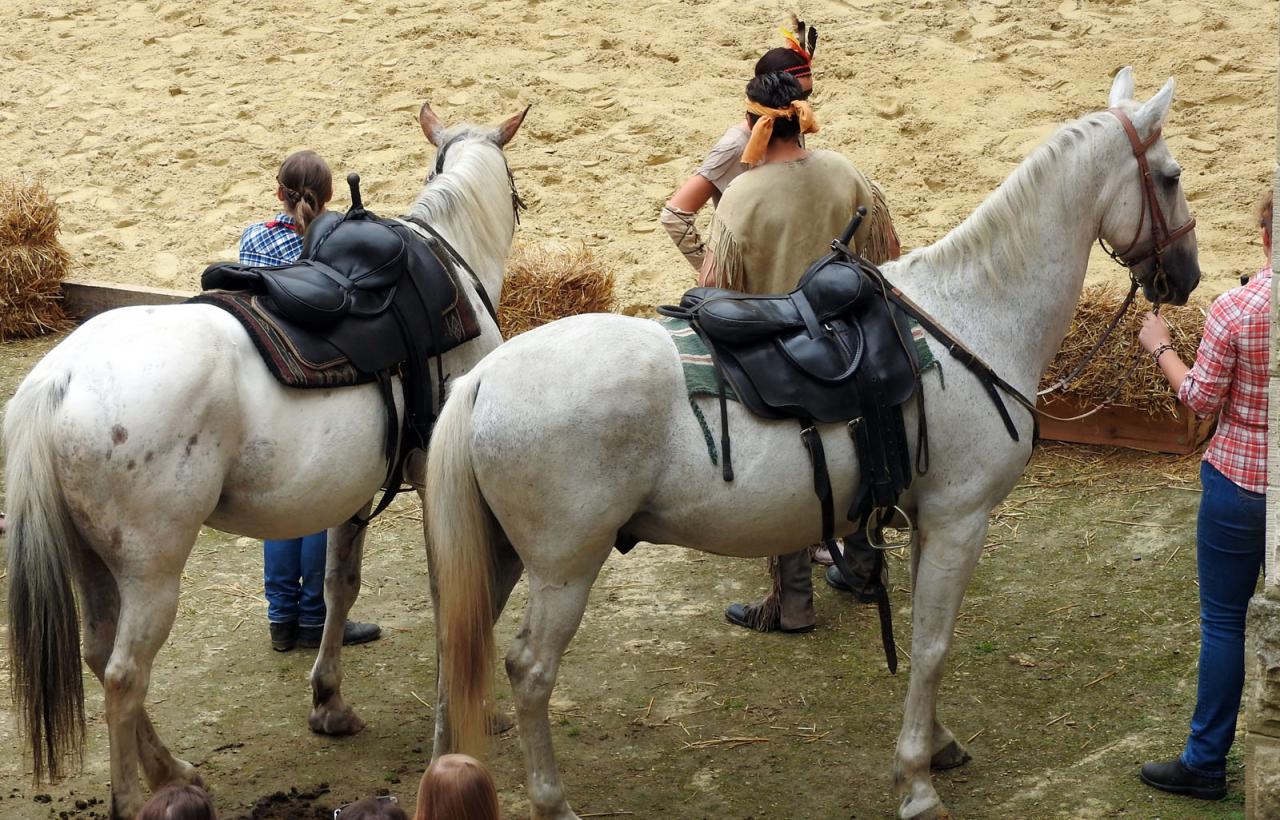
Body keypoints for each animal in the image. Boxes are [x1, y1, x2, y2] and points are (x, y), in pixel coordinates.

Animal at [4, 102, 527, 820]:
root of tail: (60, 377)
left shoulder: (353, 494)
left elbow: (338, 586)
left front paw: (329, 703)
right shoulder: (433, 482)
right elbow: (455, 595)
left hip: (92, 559)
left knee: (96, 652)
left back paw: (173, 769)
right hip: (151, 572)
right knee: (122, 675)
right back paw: (136, 793)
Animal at [425, 68, 1200, 819]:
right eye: (1169, 176)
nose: (1187, 276)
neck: (970, 314)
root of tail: (487, 376)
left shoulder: (928, 521)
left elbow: (924, 639)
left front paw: (937, 744)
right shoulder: (960, 521)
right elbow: (933, 646)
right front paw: (917, 782)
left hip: (500, 556)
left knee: (463, 650)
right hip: (563, 569)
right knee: (528, 670)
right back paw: (552, 802)